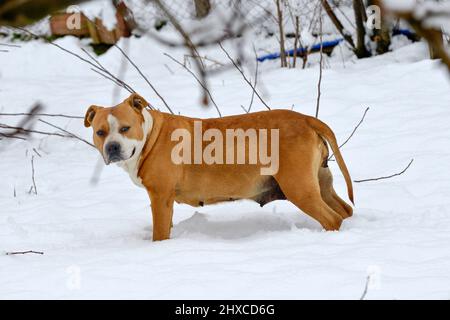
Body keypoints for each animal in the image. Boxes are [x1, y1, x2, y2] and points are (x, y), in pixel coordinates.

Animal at [83, 92, 352, 240]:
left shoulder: (160, 197)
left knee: (332, 219)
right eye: (100, 132)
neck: (150, 135)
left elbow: (160, 234)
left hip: (299, 189)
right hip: (321, 185)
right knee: (344, 210)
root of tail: (306, 119)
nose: (112, 147)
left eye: (125, 128)